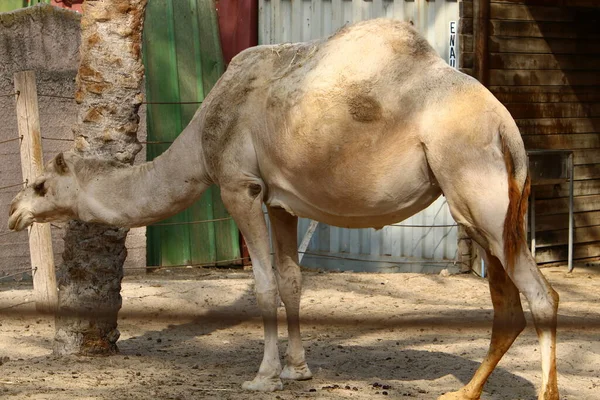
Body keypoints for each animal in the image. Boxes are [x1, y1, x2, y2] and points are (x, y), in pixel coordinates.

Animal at [7, 19, 560, 400]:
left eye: (40, 185)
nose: (13, 212)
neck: (201, 136)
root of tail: (506, 125)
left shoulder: (240, 188)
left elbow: (264, 284)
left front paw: (264, 376)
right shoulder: (281, 202)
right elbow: (293, 281)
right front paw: (299, 369)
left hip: (474, 188)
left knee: (541, 295)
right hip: (493, 209)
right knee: (508, 304)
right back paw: (463, 390)